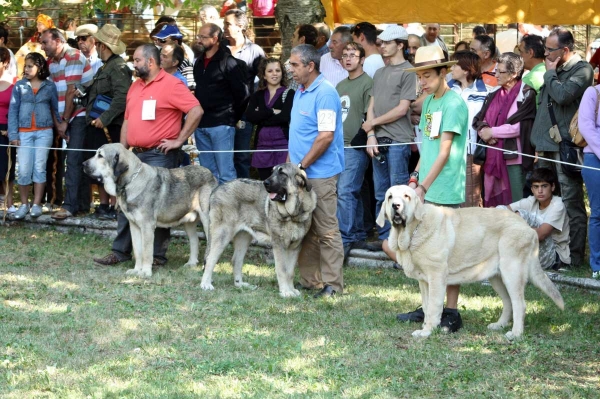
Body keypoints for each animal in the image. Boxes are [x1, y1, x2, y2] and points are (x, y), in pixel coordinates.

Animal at [378, 185, 564, 340]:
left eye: (407, 196)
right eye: (390, 197)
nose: (396, 206)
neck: (412, 231)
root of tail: (526, 226)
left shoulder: (436, 277)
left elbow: (433, 307)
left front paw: (427, 331)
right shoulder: (424, 281)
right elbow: (425, 306)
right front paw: (425, 327)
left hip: (512, 273)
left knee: (520, 304)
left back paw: (515, 333)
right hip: (497, 277)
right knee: (508, 302)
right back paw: (499, 325)